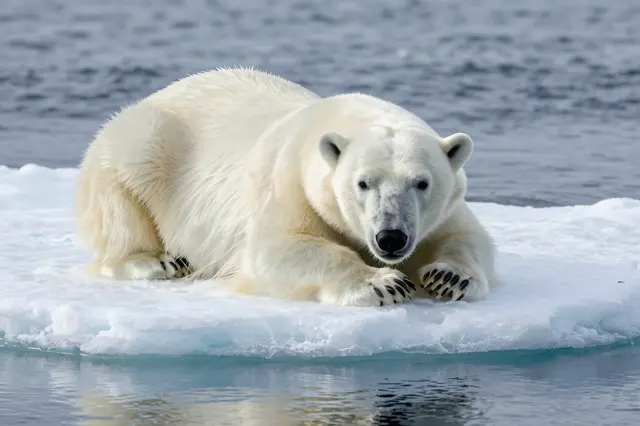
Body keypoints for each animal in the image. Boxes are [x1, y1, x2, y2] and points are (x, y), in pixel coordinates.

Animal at [75, 67, 499, 306]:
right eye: (363, 182)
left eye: (421, 183)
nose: (390, 237)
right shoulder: (290, 182)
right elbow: (275, 250)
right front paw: (384, 283)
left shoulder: (443, 211)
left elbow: (468, 236)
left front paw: (449, 277)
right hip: (141, 144)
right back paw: (161, 261)